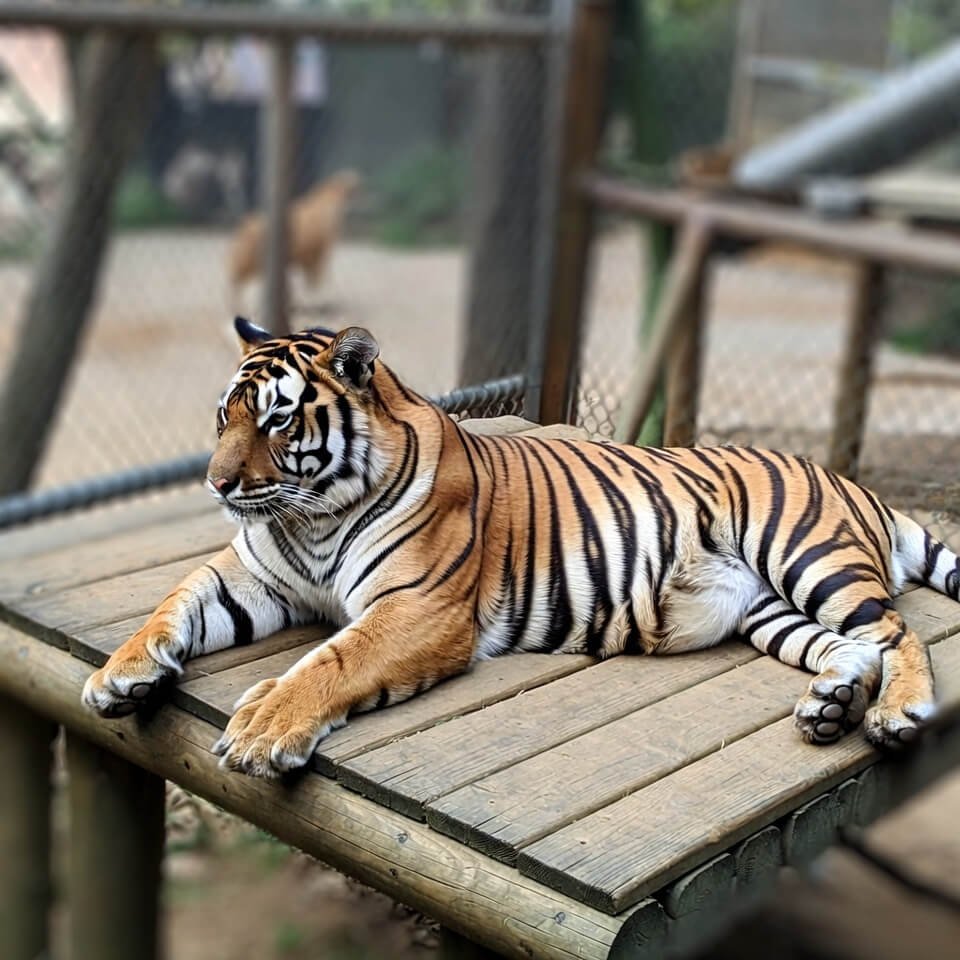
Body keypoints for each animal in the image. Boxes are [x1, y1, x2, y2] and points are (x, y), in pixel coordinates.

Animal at [82, 319, 947, 779]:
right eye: (223, 417)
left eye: (277, 420)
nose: (217, 483)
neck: (312, 515)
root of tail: (857, 486)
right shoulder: (253, 575)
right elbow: (175, 602)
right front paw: (118, 675)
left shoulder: (417, 608)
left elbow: (332, 661)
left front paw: (262, 728)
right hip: (767, 610)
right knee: (851, 649)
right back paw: (831, 707)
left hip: (810, 555)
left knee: (897, 634)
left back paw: (896, 713)